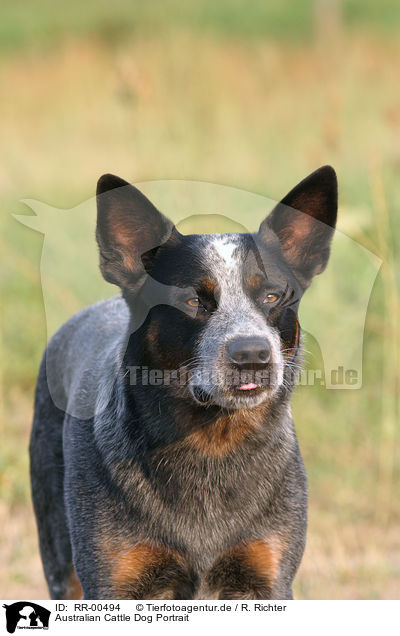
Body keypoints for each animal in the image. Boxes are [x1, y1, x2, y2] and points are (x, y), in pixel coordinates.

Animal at [30, 163, 338, 596]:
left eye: (273, 296)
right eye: (193, 301)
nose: (252, 355)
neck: (212, 445)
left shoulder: (268, 575)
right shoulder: (111, 580)